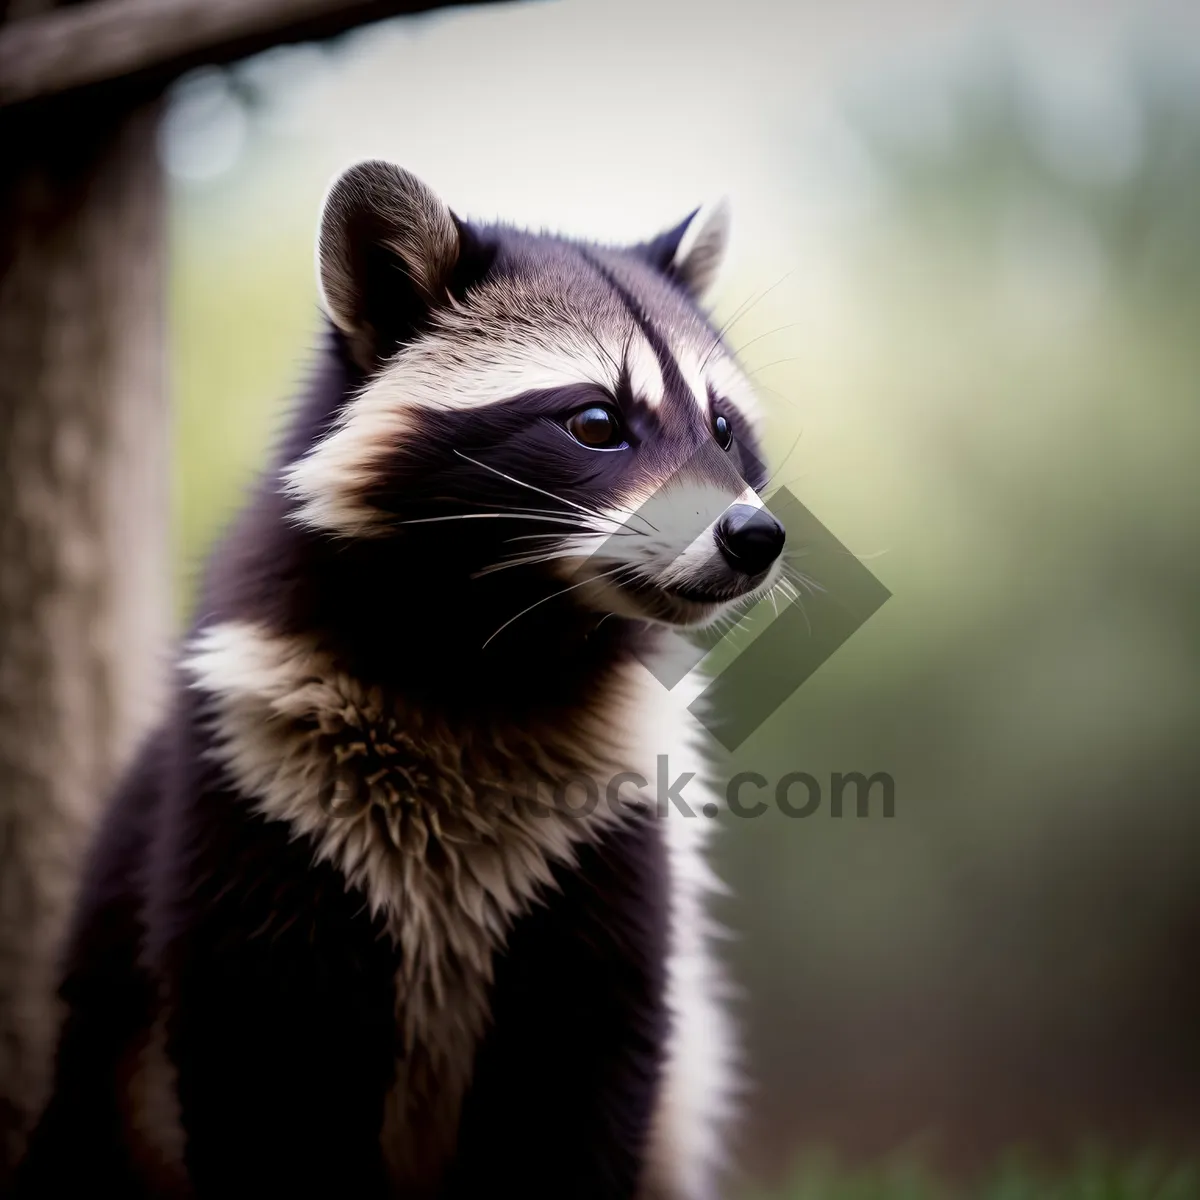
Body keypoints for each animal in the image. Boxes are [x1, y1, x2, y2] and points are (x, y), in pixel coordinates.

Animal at [18, 162, 792, 1200]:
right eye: (596, 422)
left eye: (721, 428)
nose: (755, 538)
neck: (494, 650)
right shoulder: (256, 790)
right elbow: (265, 1082)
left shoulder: (613, 833)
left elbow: (585, 1075)